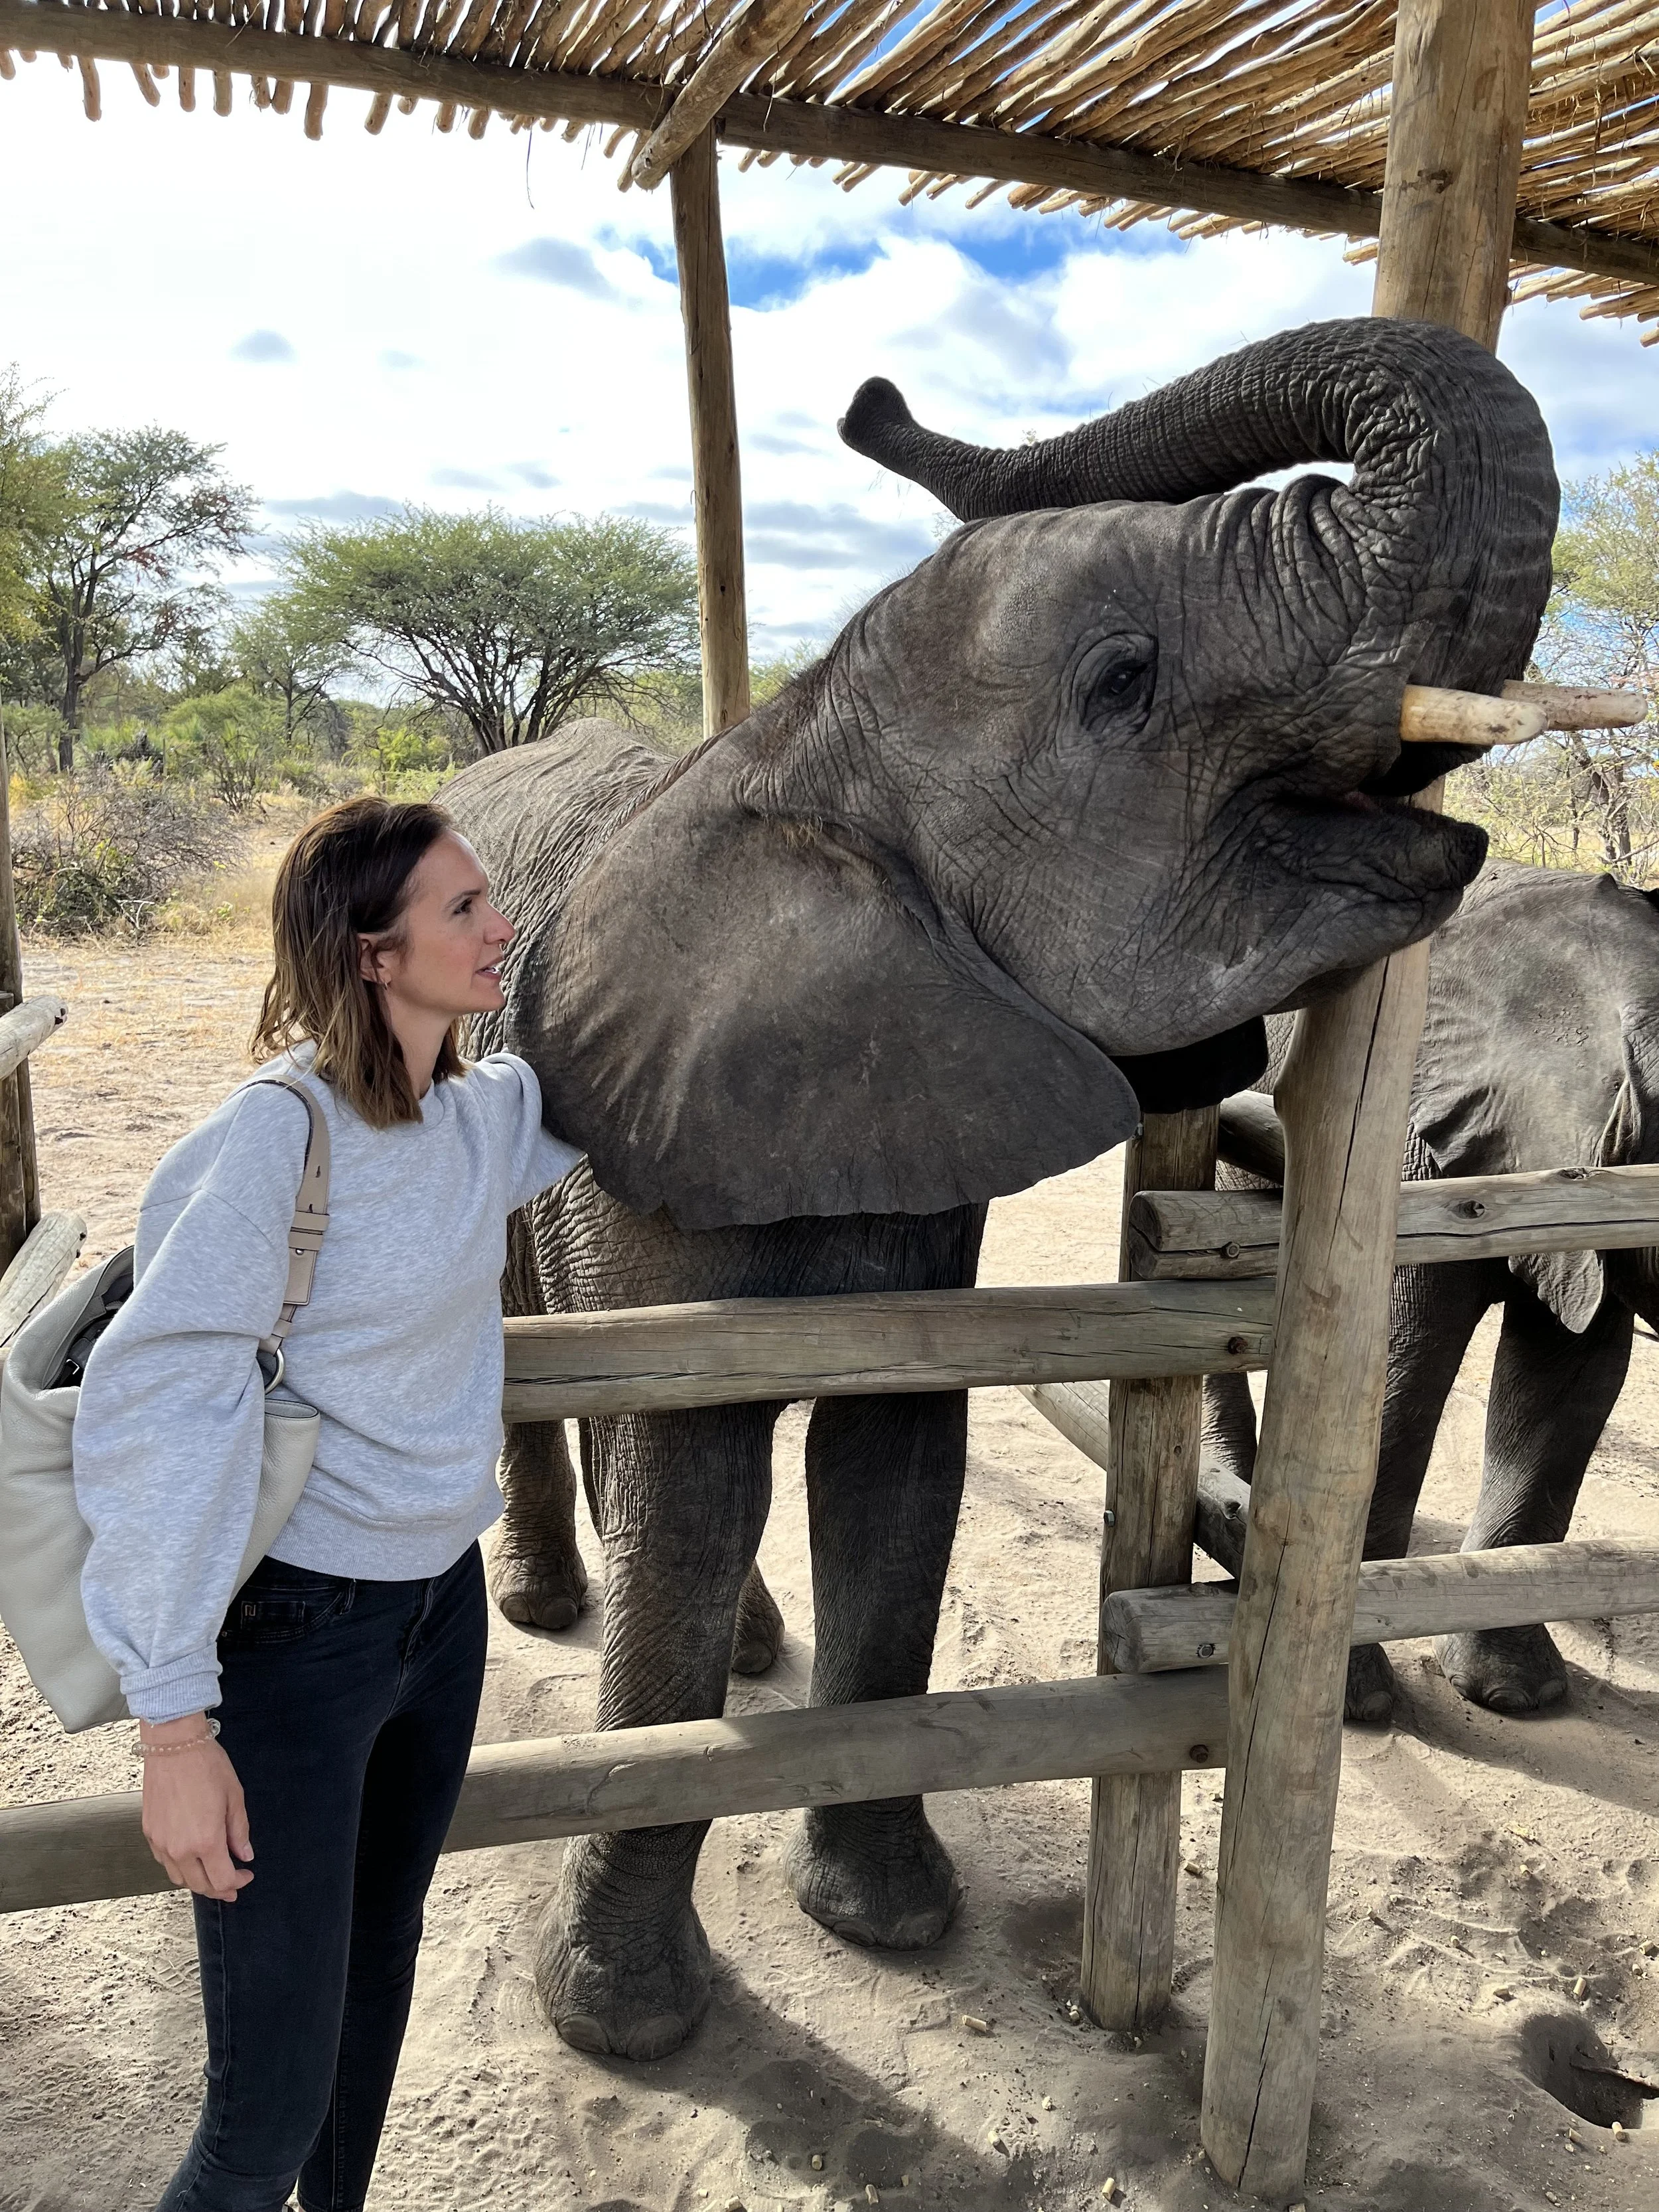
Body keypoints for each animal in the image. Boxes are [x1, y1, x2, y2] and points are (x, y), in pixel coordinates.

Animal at [446, 316, 1556, 2061]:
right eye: (1122, 682)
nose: (867, 396)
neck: (796, 747)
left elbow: (900, 1468)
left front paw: (892, 1920)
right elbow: (689, 1482)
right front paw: (623, 2021)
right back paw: (556, 1609)